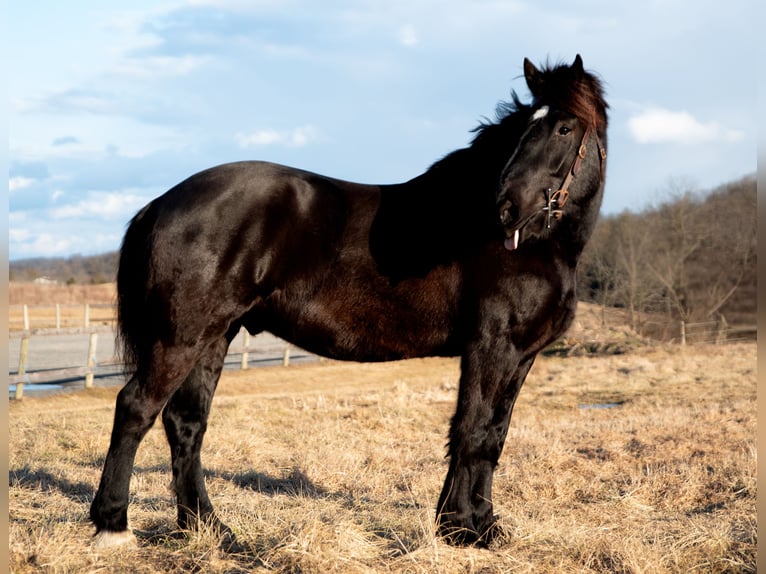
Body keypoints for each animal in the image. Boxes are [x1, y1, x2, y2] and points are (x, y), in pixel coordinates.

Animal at [90, 56, 608, 552]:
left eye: (563, 128)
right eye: (523, 129)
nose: (506, 208)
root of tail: (159, 204)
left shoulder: (520, 355)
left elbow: (493, 436)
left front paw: (478, 525)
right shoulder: (491, 348)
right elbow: (473, 432)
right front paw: (463, 529)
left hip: (215, 336)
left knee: (186, 424)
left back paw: (210, 529)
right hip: (180, 337)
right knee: (136, 408)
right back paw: (113, 524)